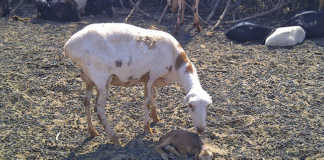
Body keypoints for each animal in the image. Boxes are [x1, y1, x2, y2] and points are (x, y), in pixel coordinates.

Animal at [62, 23, 213, 144]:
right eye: (190, 106)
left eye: (208, 106)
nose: (201, 129)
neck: (177, 65)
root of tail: (69, 46)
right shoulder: (151, 76)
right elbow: (147, 101)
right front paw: (148, 129)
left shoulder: (151, 81)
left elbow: (153, 97)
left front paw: (156, 118)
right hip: (101, 78)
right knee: (98, 108)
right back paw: (115, 138)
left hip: (88, 77)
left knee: (86, 102)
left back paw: (92, 131)